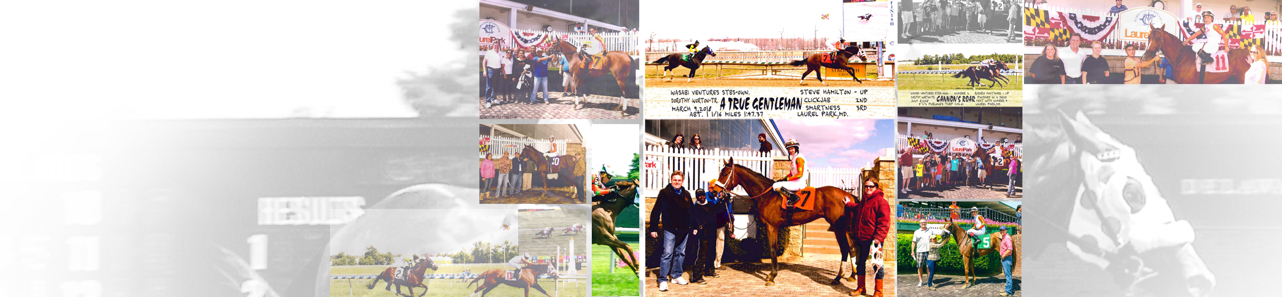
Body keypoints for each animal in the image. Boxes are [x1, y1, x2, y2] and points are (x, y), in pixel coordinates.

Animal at [717, 157, 856, 285]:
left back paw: (838, 277)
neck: (766, 194)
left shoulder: (771, 226)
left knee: (844, 248)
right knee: (851, 247)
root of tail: (847, 196)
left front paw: (772, 276)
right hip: (845, 228)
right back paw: (852, 276)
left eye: (725, 174)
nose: (715, 190)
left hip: (838, 227)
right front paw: (771, 274)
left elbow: (773, 249)